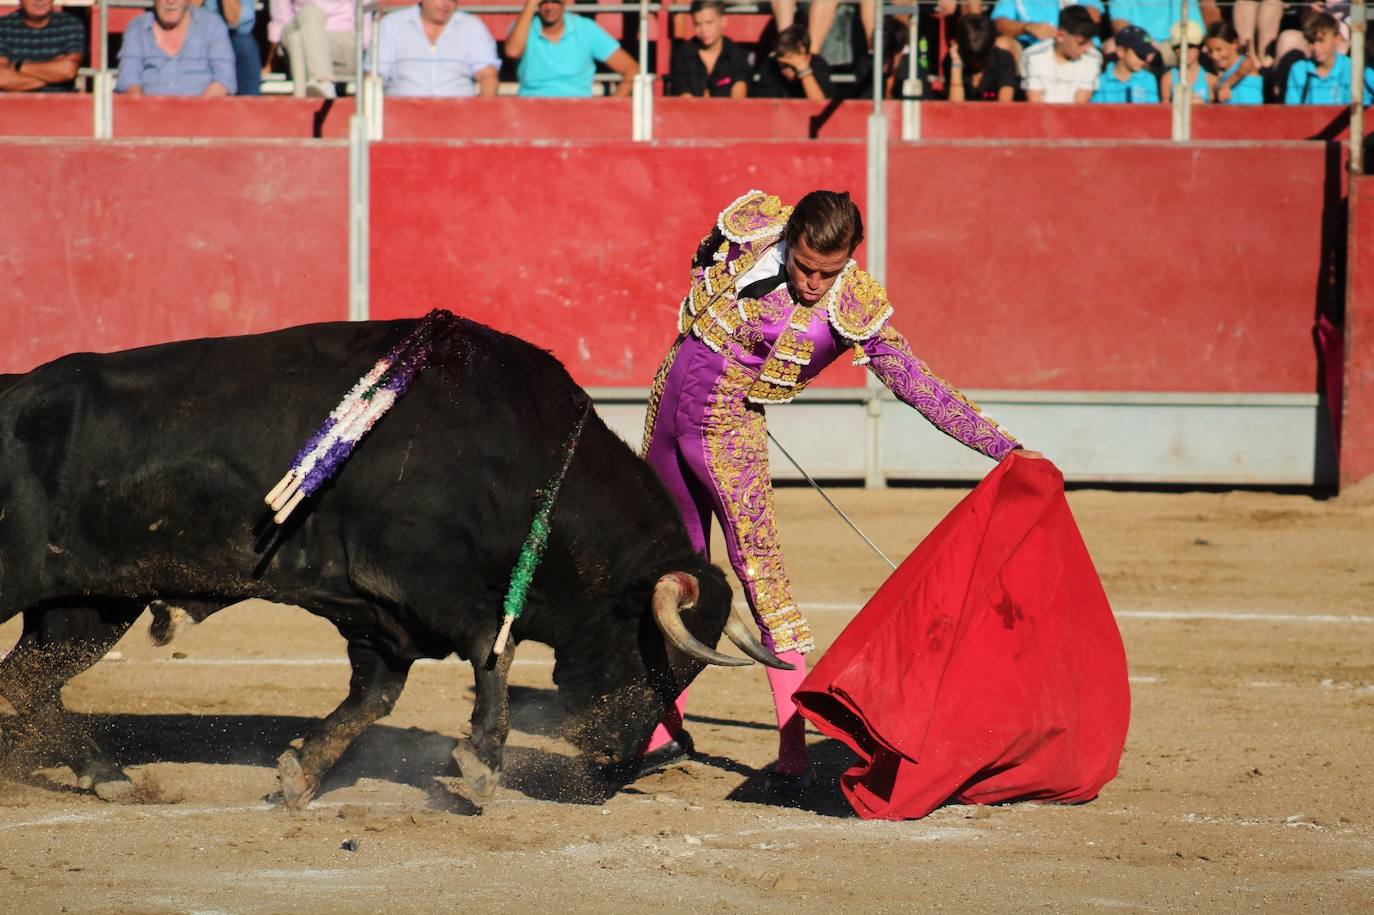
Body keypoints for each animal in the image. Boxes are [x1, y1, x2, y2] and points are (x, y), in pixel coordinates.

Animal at [0, 317, 785, 802]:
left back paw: (107, 775)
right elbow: (491, 650)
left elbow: (374, 695)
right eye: (660, 653)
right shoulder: (421, 577)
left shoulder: (380, 615)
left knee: (27, 681)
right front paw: (480, 765)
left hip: (87, 607)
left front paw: (300, 773)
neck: (524, 465)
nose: (616, 759)